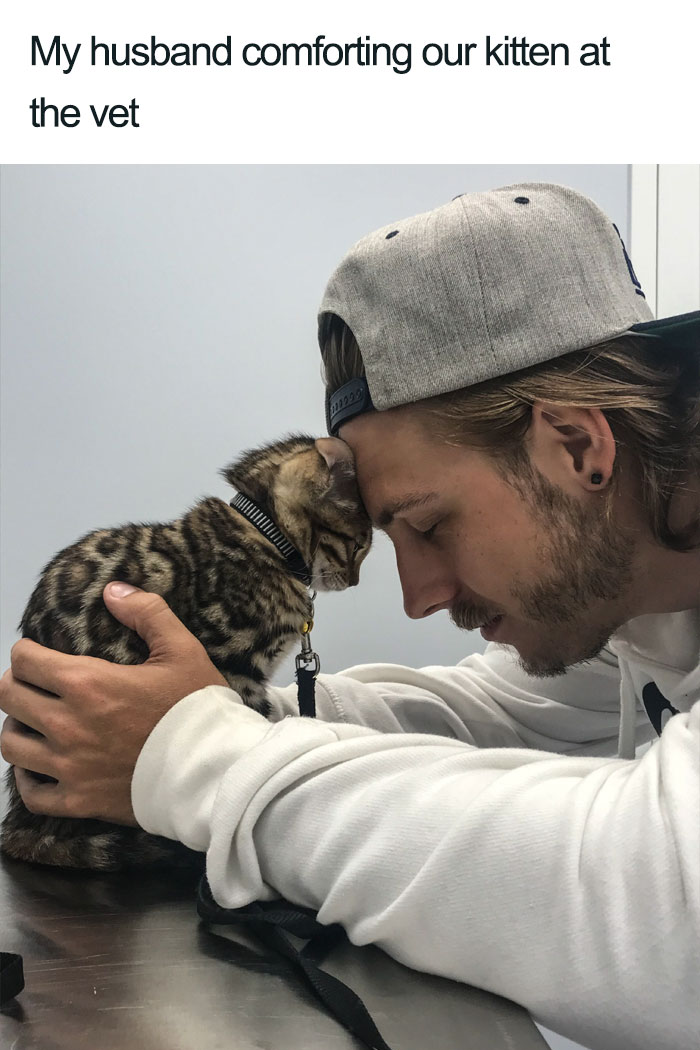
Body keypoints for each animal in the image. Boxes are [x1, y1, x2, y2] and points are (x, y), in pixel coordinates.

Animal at [2, 432, 371, 869]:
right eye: (359, 545)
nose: (354, 581)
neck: (264, 533)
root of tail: (21, 822)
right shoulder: (234, 665)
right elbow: (252, 718)